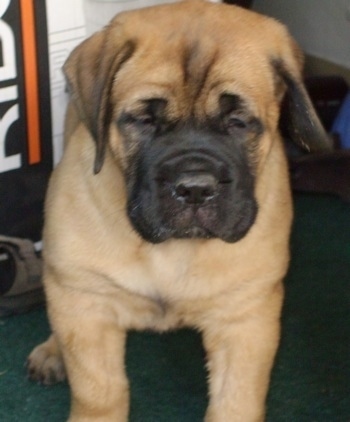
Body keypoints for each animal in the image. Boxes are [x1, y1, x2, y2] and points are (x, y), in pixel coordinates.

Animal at [28, 1, 330, 420]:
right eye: (144, 120)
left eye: (238, 123)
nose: (195, 189)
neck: (171, 250)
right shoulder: (87, 303)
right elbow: (100, 391)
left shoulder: (246, 317)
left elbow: (236, 399)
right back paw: (52, 351)